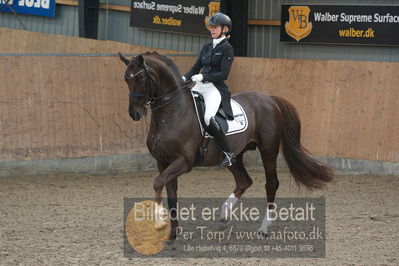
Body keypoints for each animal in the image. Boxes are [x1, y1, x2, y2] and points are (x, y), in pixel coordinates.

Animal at [119, 51, 334, 239]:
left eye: (140, 78)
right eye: (126, 79)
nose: (134, 114)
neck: (172, 112)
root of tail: (270, 99)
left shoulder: (183, 162)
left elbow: (157, 183)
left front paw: (158, 223)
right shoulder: (163, 162)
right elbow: (171, 195)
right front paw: (173, 233)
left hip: (268, 150)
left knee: (271, 184)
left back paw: (263, 228)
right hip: (234, 156)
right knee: (244, 181)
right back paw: (224, 214)